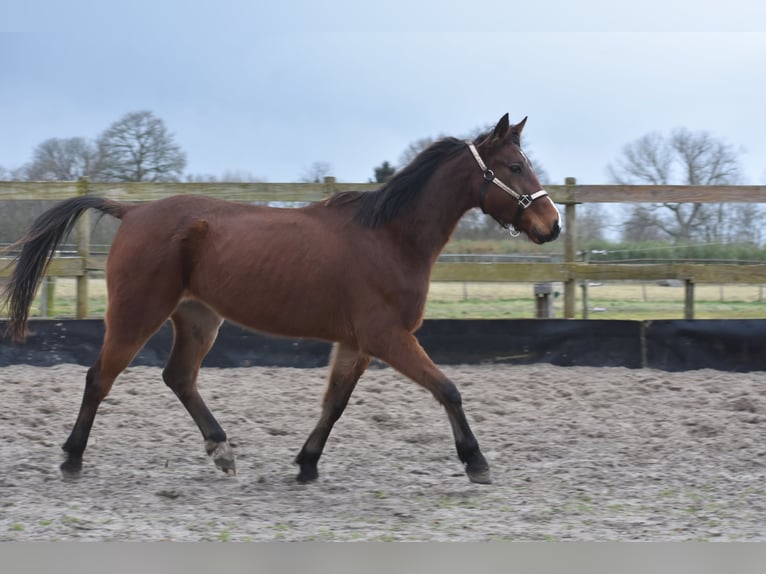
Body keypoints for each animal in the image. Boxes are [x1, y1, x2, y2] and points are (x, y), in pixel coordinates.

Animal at [1, 115, 564, 484]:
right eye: (515, 166)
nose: (552, 224)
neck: (389, 237)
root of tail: (132, 211)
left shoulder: (357, 344)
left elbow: (335, 404)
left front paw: (307, 464)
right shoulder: (388, 337)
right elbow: (448, 389)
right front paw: (476, 461)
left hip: (200, 319)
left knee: (179, 377)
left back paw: (222, 451)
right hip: (137, 313)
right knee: (100, 378)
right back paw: (72, 459)